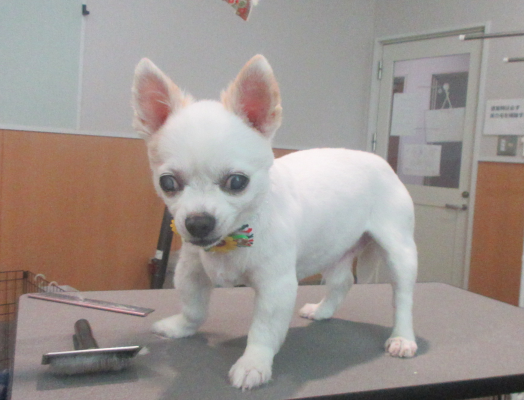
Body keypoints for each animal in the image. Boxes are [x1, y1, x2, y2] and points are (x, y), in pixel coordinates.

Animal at [132, 55, 418, 390]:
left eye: (237, 182)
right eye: (168, 183)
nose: (198, 222)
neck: (236, 236)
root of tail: (381, 161)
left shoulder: (276, 287)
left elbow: (263, 330)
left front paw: (254, 364)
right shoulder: (192, 270)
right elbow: (194, 307)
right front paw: (181, 327)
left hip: (399, 250)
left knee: (402, 297)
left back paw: (402, 338)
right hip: (334, 248)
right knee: (342, 281)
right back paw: (323, 310)